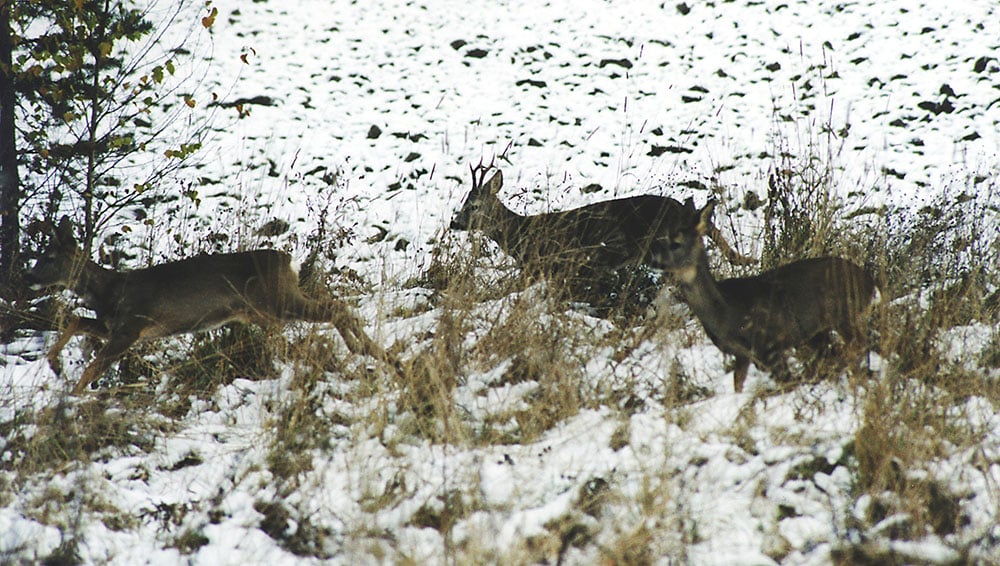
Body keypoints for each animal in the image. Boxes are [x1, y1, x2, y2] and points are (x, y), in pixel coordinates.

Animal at [27, 217, 394, 394]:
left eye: (49, 256)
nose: (27, 278)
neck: (108, 291)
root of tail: (287, 259)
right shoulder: (115, 326)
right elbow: (76, 320)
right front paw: (55, 365)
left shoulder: (131, 326)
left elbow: (94, 365)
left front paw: (70, 399)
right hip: (270, 306)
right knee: (335, 305)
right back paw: (371, 353)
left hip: (275, 300)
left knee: (336, 308)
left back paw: (372, 353)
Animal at [648, 201, 876, 394]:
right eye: (661, 238)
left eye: (676, 243)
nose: (653, 260)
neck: (724, 311)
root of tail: (869, 282)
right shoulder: (742, 355)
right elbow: (737, 385)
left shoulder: (768, 346)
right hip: (817, 332)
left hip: (844, 315)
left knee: (858, 346)